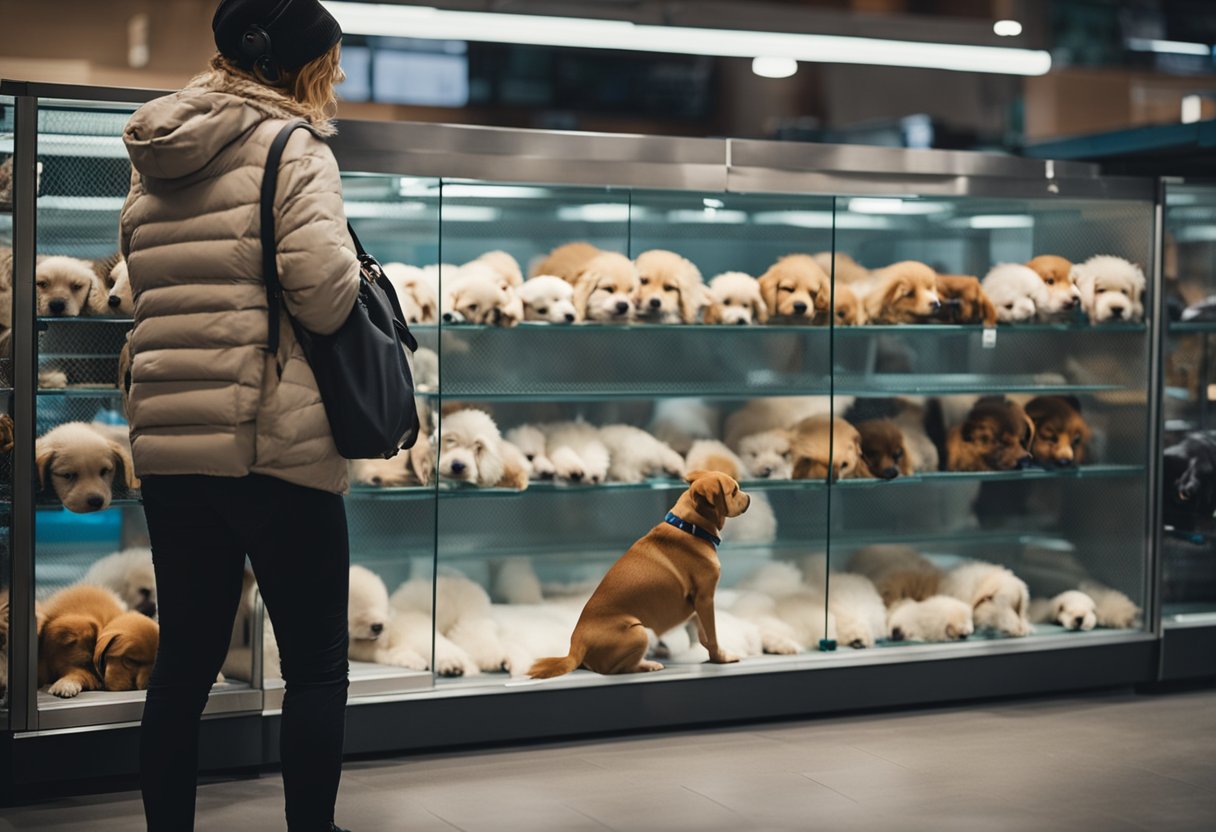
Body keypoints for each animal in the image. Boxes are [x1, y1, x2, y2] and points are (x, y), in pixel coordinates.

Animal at [530, 471, 749, 681]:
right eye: (734, 491)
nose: (748, 497)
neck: (690, 527)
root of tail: (575, 649)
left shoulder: (698, 605)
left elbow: (704, 636)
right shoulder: (705, 599)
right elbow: (712, 636)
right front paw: (721, 658)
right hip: (639, 632)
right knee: (613, 669)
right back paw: (647, 665)